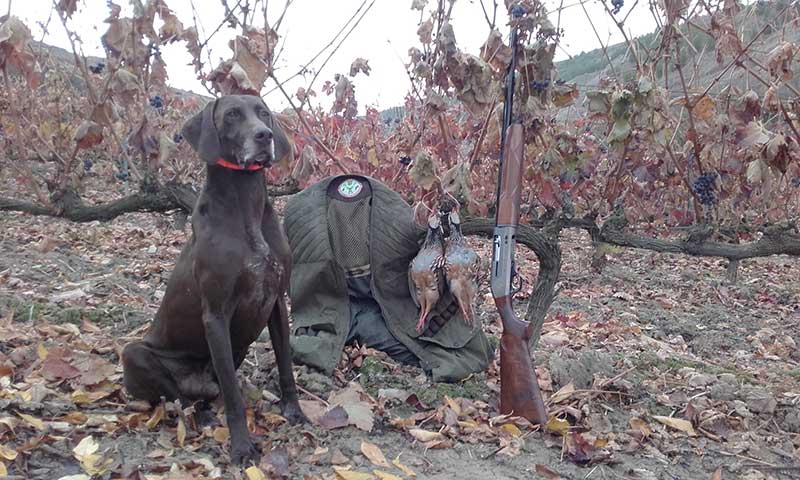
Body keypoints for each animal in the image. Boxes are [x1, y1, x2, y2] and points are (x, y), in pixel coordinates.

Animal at [122, 94, 306, 464]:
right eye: (232, 115)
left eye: (264, 113)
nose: (264, 136)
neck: (246, 206)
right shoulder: (216, 315)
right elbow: (233, 398)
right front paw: (242, 447)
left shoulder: (276, 301)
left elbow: (285, 364)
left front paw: (294, 411)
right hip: (133, 354)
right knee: (180, 398)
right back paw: (202, 416)